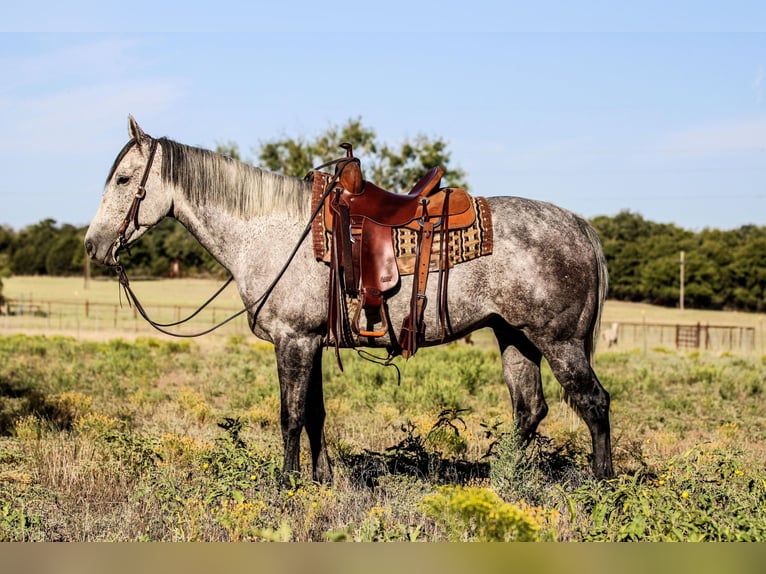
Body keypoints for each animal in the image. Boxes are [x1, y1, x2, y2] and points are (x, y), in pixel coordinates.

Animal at [84, 116, 616, 482]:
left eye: (124, 180)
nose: (93, 245)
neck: (274, 234)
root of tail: (580, 226)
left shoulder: (294, 341)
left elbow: (290, 415)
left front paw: (286, 485)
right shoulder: (312, 343)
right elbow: (314, 414)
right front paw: (321, 479)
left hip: (559, 341)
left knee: (593, 402)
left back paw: (602, 484)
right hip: (515, 336)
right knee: (530, 409)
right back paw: (501, 478)